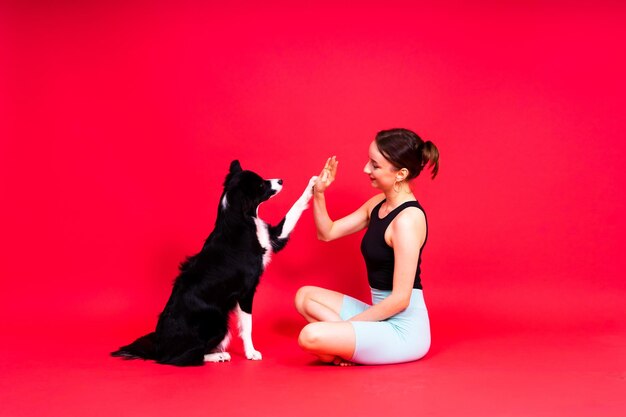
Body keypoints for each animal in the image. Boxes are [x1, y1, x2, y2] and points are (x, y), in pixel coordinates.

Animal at [110, 159, 314, 364]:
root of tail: (158, 349)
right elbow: (247, 325)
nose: (280, 180)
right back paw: (218, 355)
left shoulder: (273, 237)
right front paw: (251, 353)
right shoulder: (246, 291)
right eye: (261, 185)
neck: (238, 218)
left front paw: (314, 183)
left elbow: (294, 210)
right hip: (217, 320)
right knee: (181, 358)